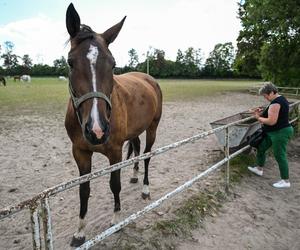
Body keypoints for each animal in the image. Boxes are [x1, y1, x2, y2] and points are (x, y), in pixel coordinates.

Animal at [65, 3, 162, 246]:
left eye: (113, 64)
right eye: (70, 62)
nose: (97, 130)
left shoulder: (115, 152)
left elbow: (114, 184)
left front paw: (116, 219)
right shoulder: (80, 152)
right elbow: (83, 189)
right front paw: (80, 231)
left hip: (152, 128)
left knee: (146, 154)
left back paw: (145, 188)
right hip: (135, 130)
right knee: (136, 147)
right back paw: (135, 175)